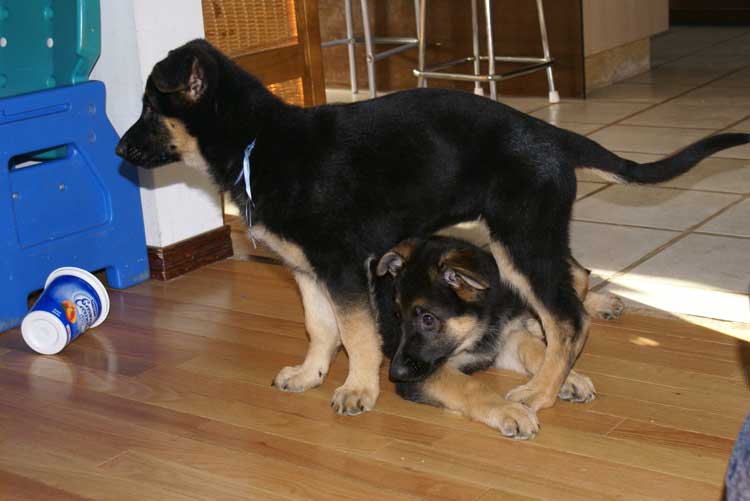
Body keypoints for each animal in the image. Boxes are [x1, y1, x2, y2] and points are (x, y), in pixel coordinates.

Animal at [114, 38, 748, 414]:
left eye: (149, 108)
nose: (118, 151)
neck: (255, 141)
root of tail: (549, 134)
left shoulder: (343, 268)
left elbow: (357, 334)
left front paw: (358, 387)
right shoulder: (306, 271)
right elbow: (320, 327)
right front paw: (311, 374)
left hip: (519, 237)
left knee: (566, 316)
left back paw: (540, 390)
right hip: (532, 232)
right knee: (577, 277)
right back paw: (563, 358)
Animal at [374, 235, 604, 438]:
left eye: (428, 319)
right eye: (397, 315)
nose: (395, 373)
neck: (477, 328)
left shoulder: (500, 341)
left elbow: (532, 346)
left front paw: (569, 378)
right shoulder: (425, 375)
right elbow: (469, 385)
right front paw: (508, 409)